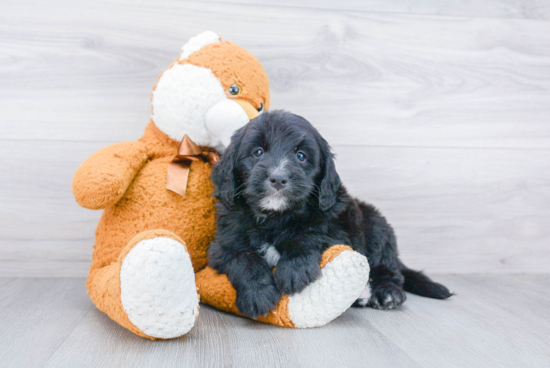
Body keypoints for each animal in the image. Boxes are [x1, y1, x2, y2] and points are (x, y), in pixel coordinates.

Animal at [208, 110, 452, 318]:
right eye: (258, 152)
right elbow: (243, 258)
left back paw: (387, 293)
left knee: (390, 270)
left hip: (376, 227)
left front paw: (294, 270)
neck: (276, 217)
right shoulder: (223, 244)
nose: (278, 178)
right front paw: (258, 294)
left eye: (301, 156)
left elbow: (309, 235)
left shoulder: (336, 228)